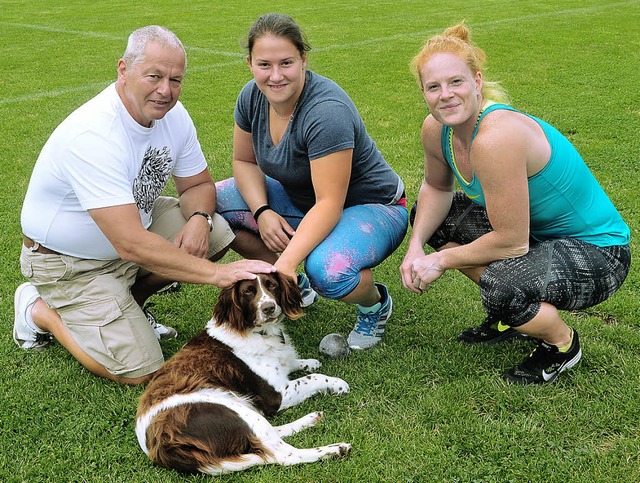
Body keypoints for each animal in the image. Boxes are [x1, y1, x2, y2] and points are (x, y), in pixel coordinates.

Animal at [136, 272, 352, 476]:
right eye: (248, 291)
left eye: (271, 285)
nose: (268, 308)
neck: (258, 332)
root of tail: (162, 450)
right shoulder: (277, 396)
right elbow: (311, 379)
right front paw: (337, 383)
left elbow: (294, 364)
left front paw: (310, 362)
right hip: (234, 411)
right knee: (282, 455)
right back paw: (334, 449)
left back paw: (311, 418)